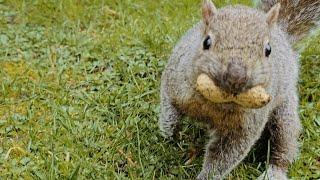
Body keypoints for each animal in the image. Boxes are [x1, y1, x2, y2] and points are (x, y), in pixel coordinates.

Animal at [159, 0, 318, 179]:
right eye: (206, 42)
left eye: (268, 50)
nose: (236, 76)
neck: (216, 103)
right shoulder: (175, 80)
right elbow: (168, 104)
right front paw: (169, 131)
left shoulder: (246, 126)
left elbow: (225, 155)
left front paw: (206, 176)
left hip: (284, 114)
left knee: (284, 144)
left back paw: (274, 172)